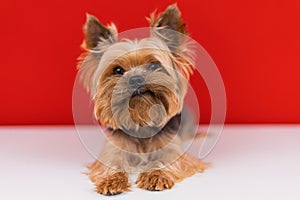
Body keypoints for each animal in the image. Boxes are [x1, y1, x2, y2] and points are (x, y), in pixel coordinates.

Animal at [78, 3, 206, 195]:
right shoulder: (111, 150)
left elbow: (165, 161)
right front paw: (111, 181)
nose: (136, 78)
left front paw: (156, 175)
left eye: (153, 65)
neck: (141, 122)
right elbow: (111, 164)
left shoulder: (174, 152)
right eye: (117, 70)